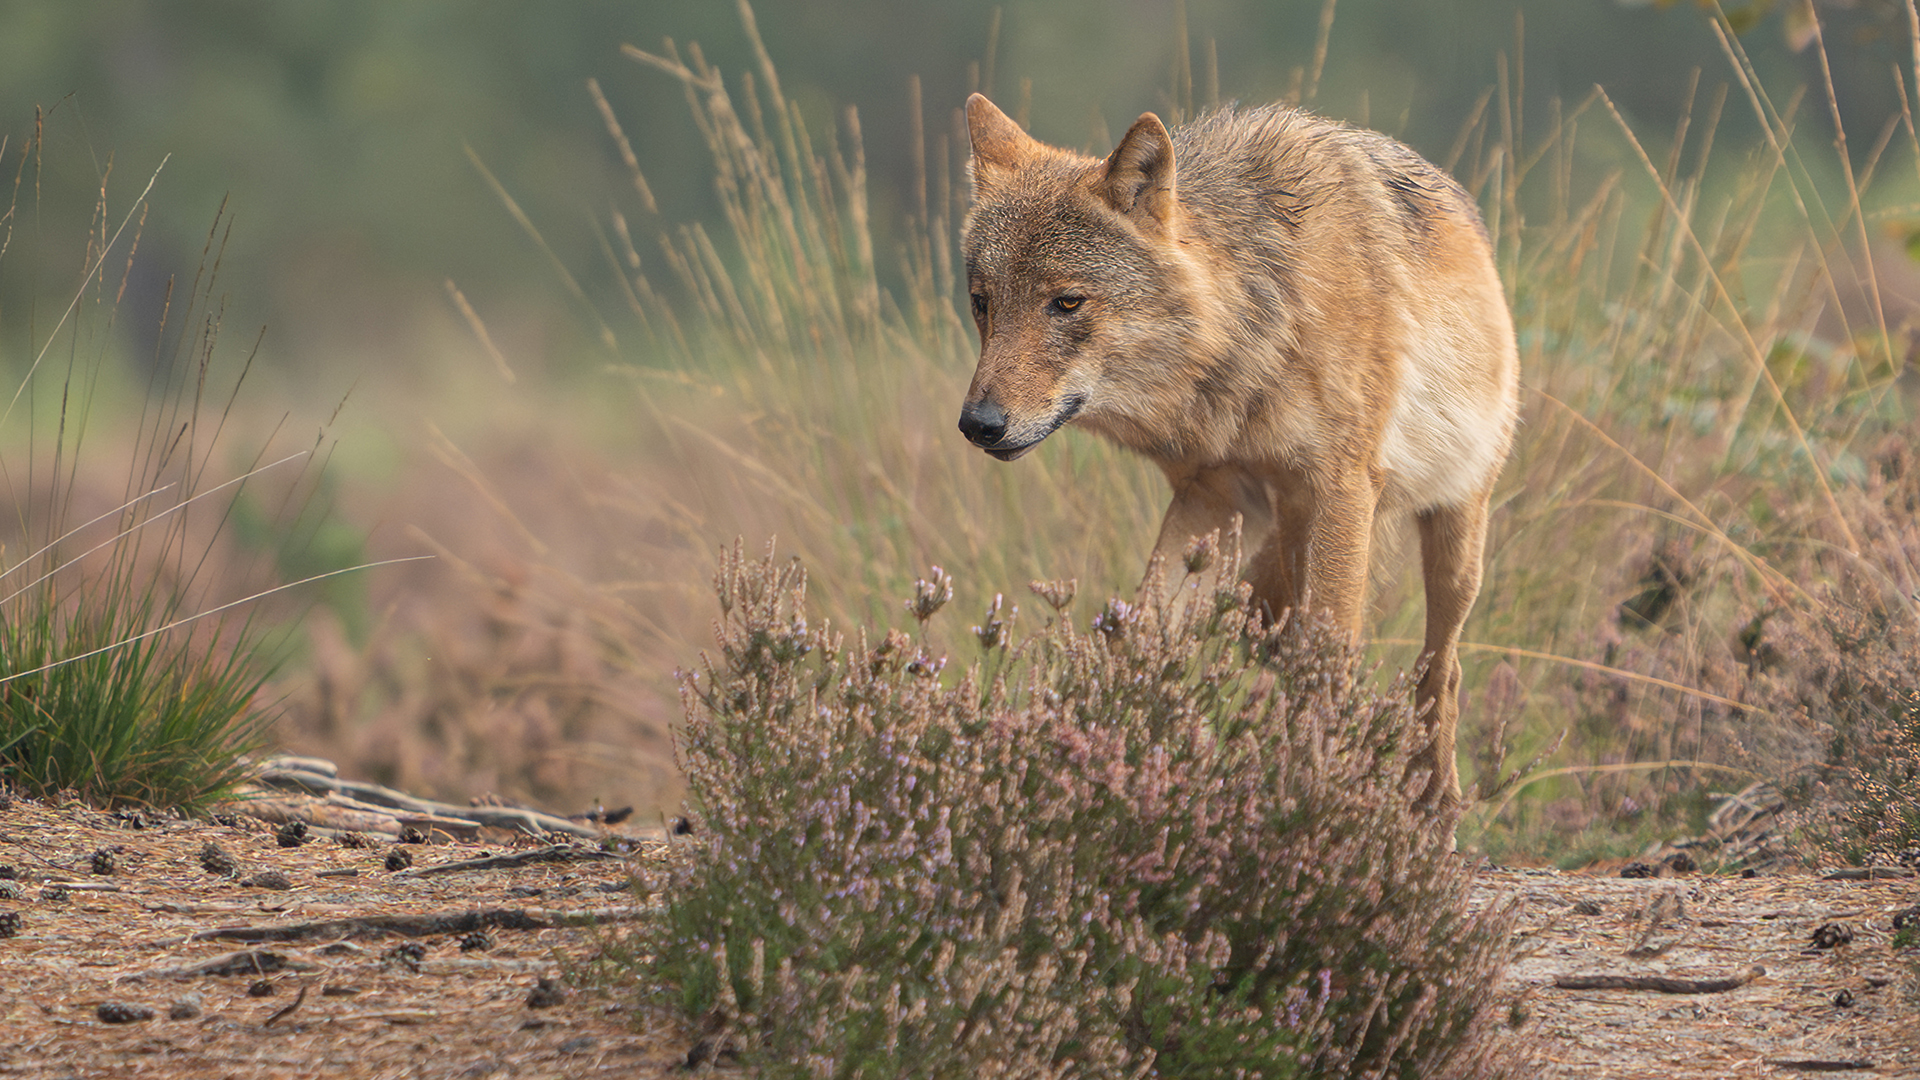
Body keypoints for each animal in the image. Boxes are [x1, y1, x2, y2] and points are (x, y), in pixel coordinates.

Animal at [957, 93, 1519, 818]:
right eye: (983, 303)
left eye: (1067, 302)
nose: (978, 425)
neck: (1260, 327)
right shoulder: (1213, 495)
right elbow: (1136, 637)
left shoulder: (1342, 490)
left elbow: (1330, 658)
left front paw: (1318, 797)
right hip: (1271, 556)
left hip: (1453, 538)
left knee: (1441, 668)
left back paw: (1434, 802)